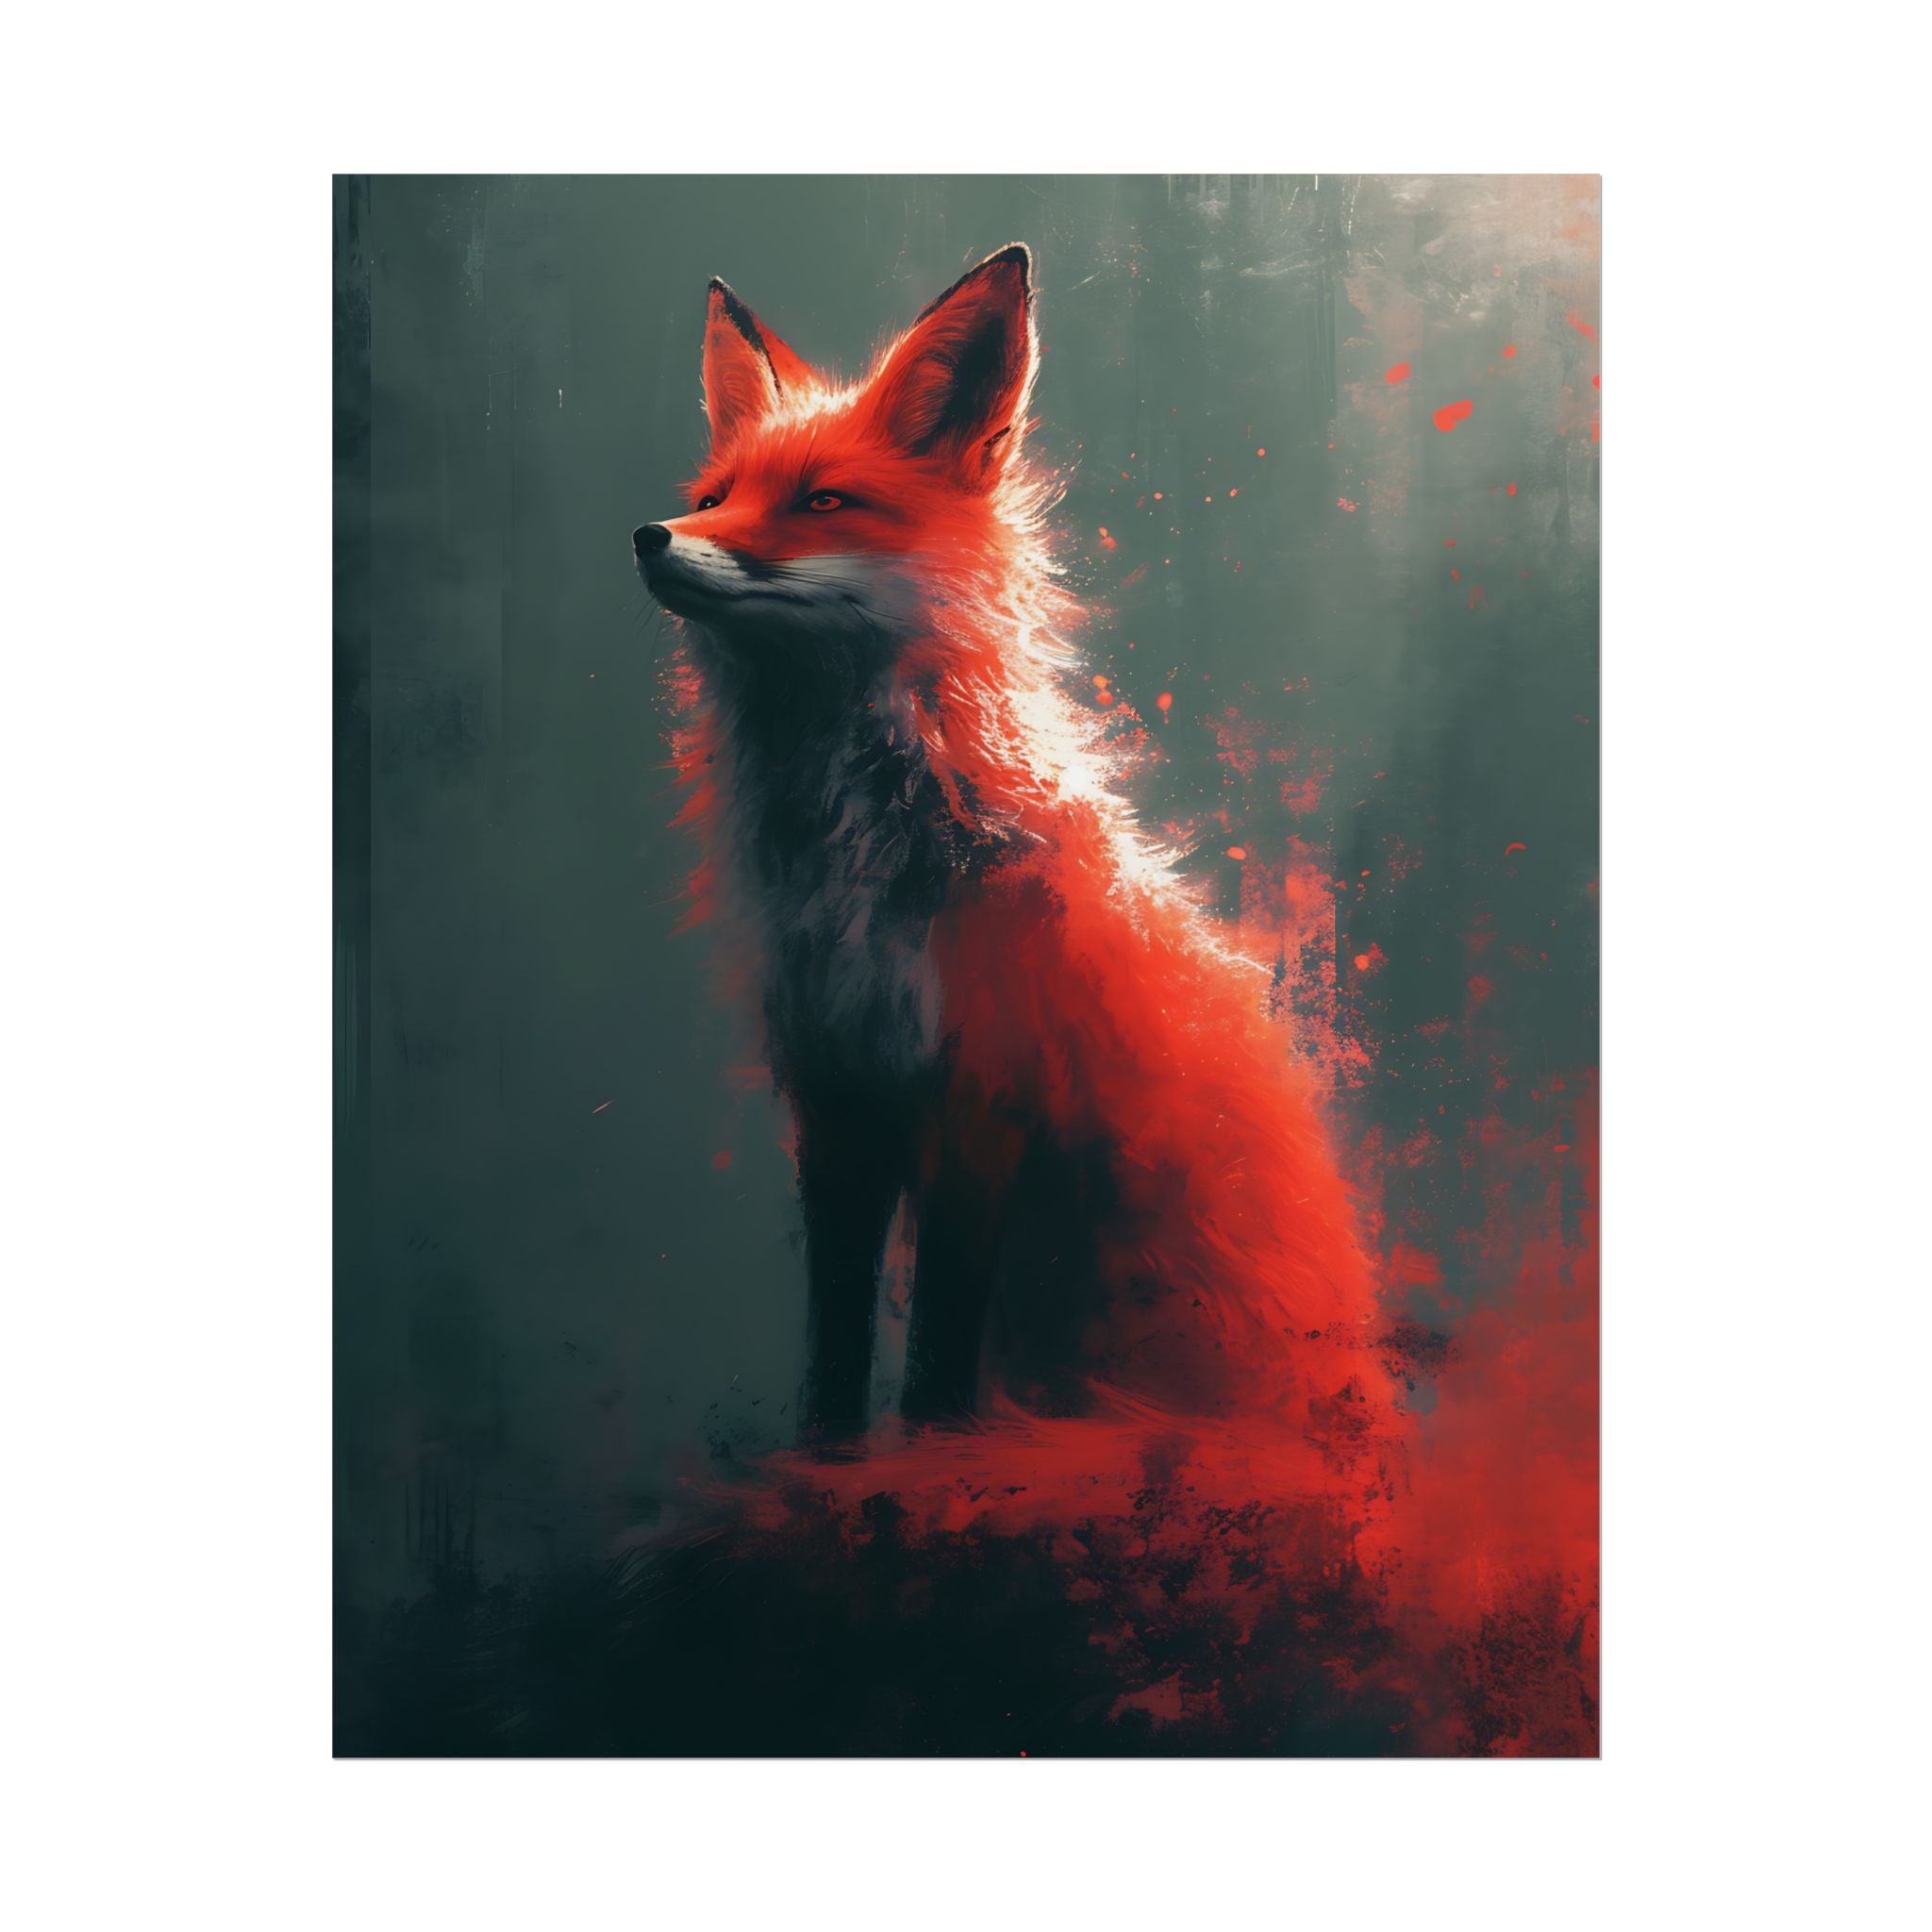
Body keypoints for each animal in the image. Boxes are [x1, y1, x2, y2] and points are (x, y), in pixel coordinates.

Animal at [634, 245, 1390, 1454]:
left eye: (822, 501)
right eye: (714, 499)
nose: (652, 536)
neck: (860, 860)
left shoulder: (982, 1093)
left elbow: (940, 1342)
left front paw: (931, 1454)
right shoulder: (833, 1093)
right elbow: (835, 1331)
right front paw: (826, 1456)